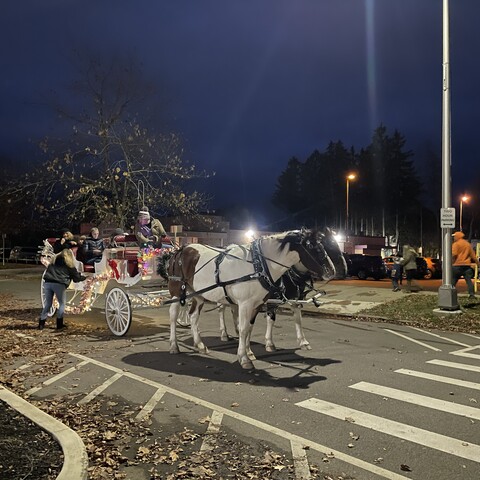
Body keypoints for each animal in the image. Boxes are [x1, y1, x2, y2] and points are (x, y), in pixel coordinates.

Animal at [168, 229, 344, 372]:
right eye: (312, 246)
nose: (332, 271)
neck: (259, 265)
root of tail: (181, 249)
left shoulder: (257, 304)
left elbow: (250, 328)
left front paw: (249, 352)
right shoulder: (246, 304)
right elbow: (244, 328)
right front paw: (244, 358)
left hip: (198, 294)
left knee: (193, 316)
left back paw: (200, 344)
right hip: (177, 292)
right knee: (173, 315)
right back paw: (174, 345)